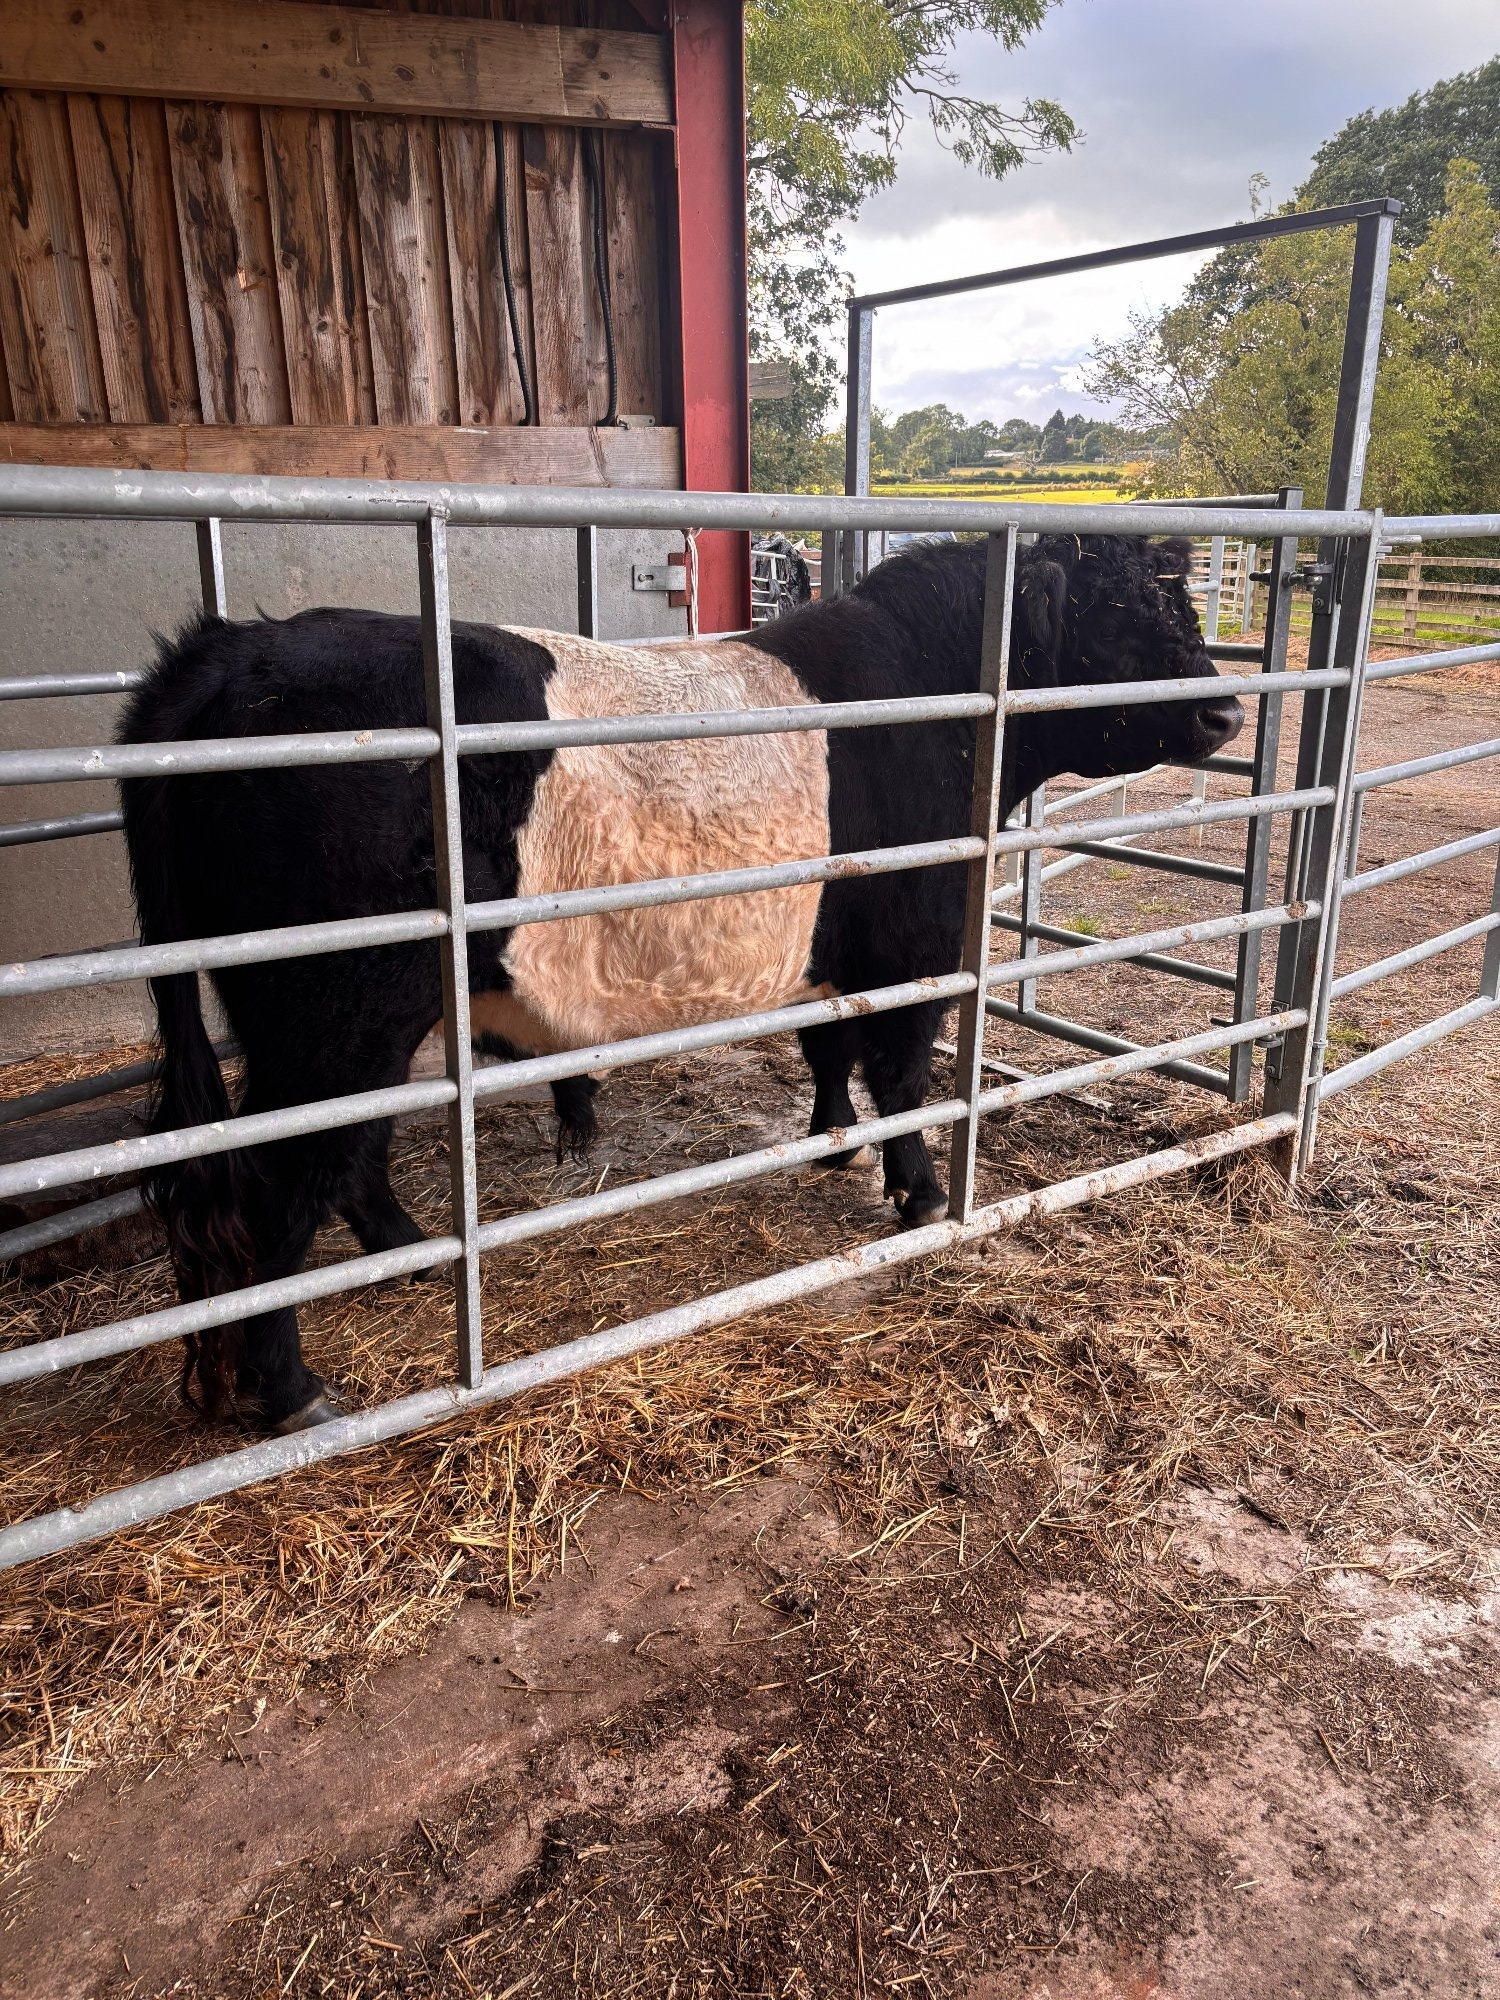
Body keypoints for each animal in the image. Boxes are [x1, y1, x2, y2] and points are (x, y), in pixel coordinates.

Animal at [119, 534, 1242, 1433]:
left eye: (1184, 604)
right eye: (1117, 611)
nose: (1228, 709)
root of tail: (226, 654)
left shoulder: (829, 947)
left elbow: (830, 1046)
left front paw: (829, 1141)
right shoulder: (912, 936)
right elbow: (901, 1070)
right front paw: (919, 1191)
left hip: (354, 1019)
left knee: (347, 1153)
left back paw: (415, 1250)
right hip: (334, 1010)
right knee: (277, 1183)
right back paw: (292, 1386)